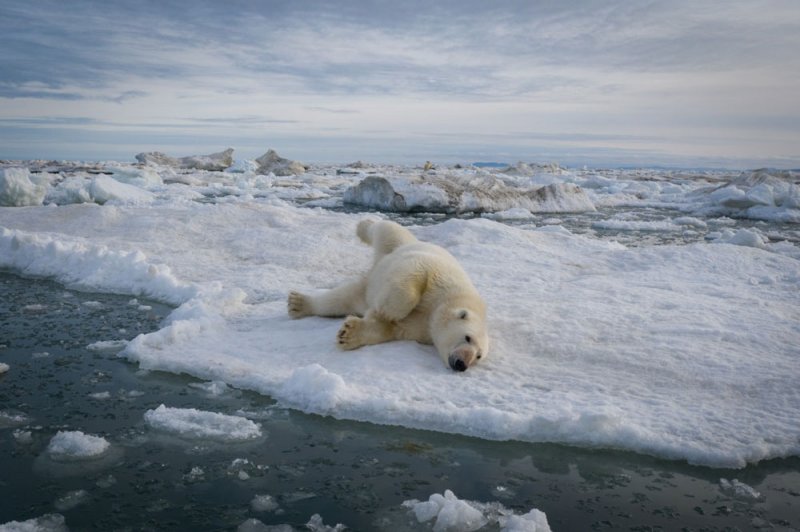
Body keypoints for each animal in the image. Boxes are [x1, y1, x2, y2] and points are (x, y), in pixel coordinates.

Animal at [288, 219, 488, 370]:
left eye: (478, 355)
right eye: (467, 337)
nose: (462, 364)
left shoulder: (420, 329)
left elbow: (389, 329)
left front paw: (348, 333)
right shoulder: (437, 276)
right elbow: (415, 276)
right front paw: (385, 311)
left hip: (364, 289)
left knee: (340, 299)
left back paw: (299, 304)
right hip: (398, 246)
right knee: (387, 229)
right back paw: (364, 225)